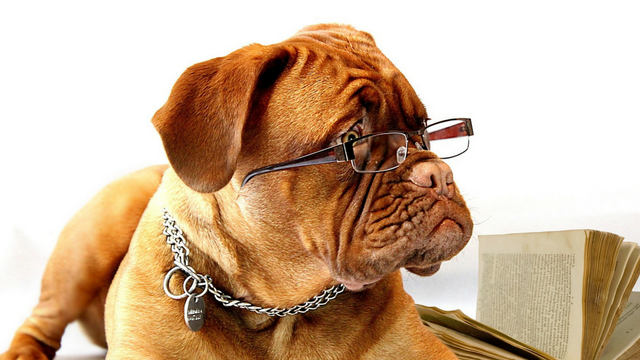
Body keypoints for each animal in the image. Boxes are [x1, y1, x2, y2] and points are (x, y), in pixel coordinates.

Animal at [2, 23, 472, 358]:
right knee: (41, 320)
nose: (438, 175)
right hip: (91, 242)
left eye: (424, 130)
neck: (278, 311)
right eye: (352, 139)